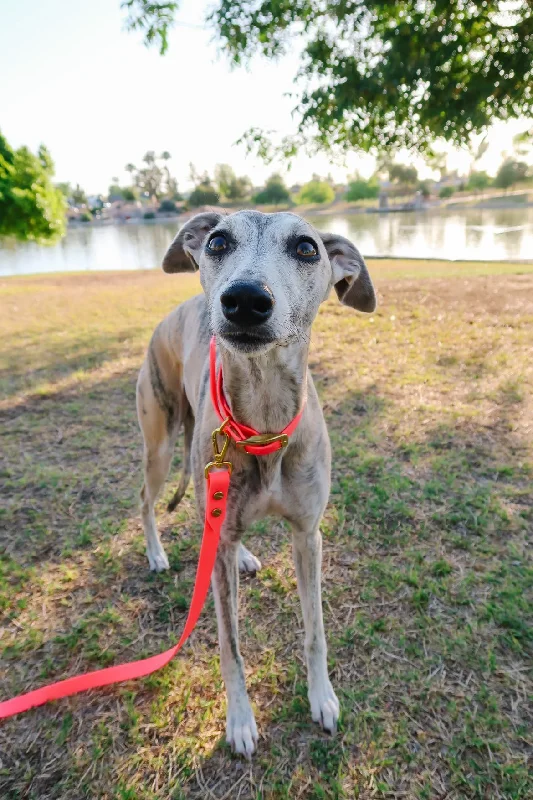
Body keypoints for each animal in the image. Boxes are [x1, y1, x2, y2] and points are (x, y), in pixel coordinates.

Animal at [137, 211, 378, 756]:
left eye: (308, 248)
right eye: (217, 241)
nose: (245, 299)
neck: (264, 424)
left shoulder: (308, 535)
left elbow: (315, 631)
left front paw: (322, 698)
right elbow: (231, 646)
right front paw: (241, 721)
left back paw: (242, 554)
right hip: (160, 443)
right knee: (147, 500)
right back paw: (157, 553)